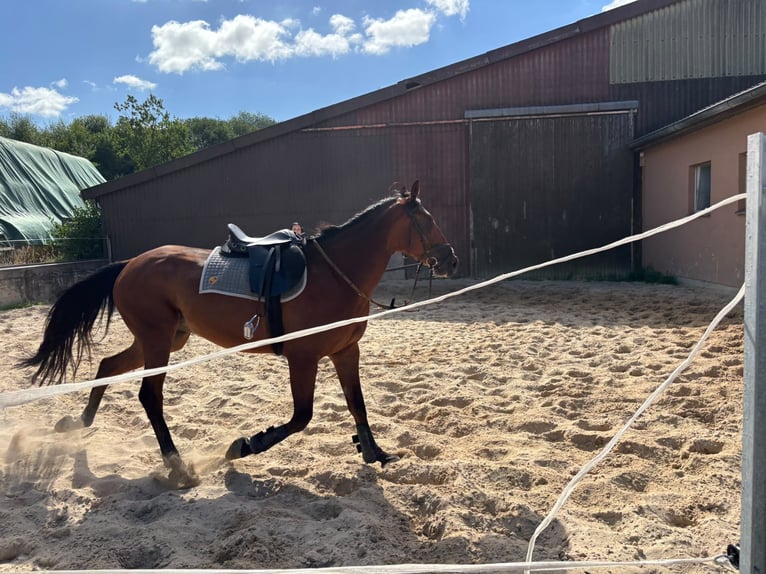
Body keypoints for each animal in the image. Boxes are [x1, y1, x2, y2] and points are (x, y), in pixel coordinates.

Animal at [20, 181, 458, 487]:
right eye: (428, 220)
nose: (451, 260)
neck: (333, 275)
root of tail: (129, 264)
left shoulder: (346, 352)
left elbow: (358, 406)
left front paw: (374, 452)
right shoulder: (303, 359)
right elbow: (301, 417)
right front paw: (244, 446)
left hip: (165, 338)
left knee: (109, 366)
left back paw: (79, 424)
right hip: (158, 340)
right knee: (149, 396)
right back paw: (178, 467)